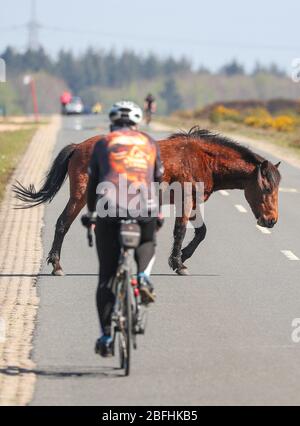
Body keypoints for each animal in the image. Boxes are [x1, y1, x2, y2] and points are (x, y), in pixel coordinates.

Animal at [13, 126, 282, 276]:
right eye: (266, 187)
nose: (271, 221)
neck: (202, 158)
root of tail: (79, 146)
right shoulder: (185, 201)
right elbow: (180, 231)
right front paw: (178, 263)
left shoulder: (193, 203)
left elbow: (201, 232)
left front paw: (183, 256)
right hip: (80, 196)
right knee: (62, 224)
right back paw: (57, 266)